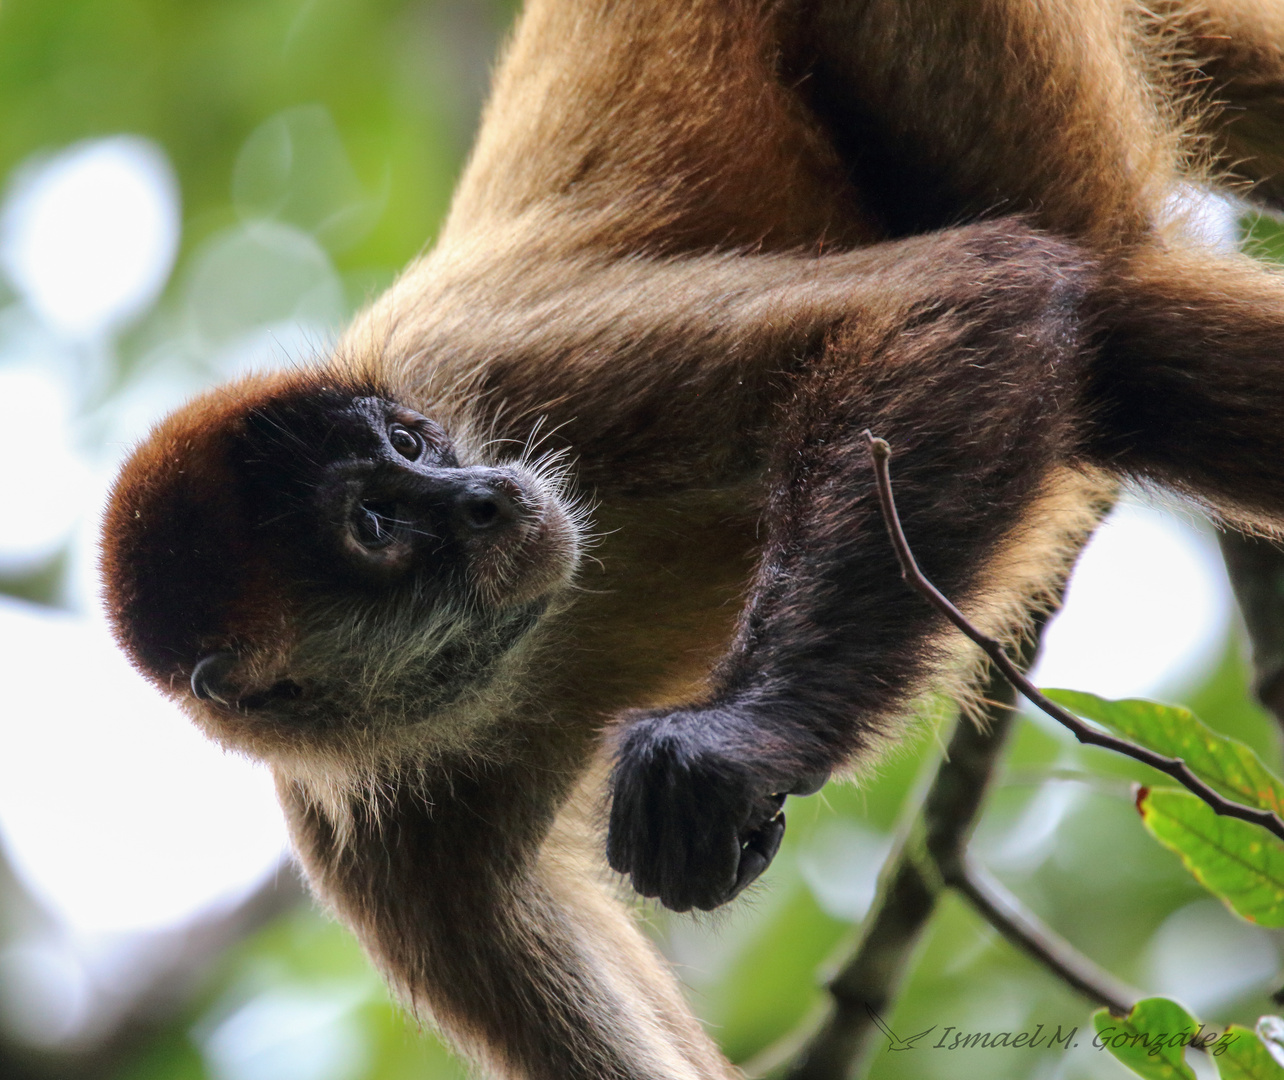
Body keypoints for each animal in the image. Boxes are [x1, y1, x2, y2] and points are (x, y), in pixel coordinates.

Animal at [102, 2, 1284, 1078]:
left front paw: (737, 746)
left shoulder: (502, 367)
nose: (484, 497)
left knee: (1117, 303)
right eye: (376, 522)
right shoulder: (368, 843)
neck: (506, 664)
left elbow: (975, 289)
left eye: (412, 443)